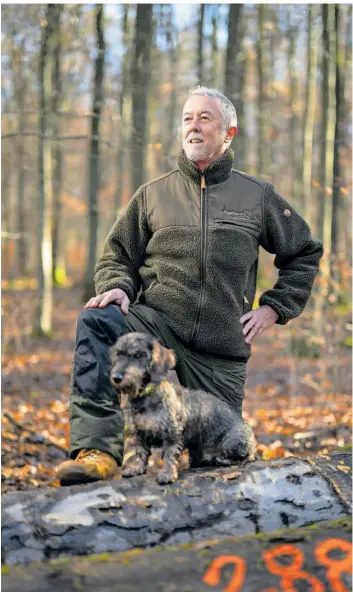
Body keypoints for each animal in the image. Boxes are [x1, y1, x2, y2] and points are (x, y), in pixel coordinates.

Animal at [110, 330, 256, 484]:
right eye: (118, 354)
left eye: (138, 355)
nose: (116, 378)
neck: (146, 397)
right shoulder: (140, 433)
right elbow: (141, 452)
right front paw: (136, 468)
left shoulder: (172, 435)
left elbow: (168, 456)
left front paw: (167, 474)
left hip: (233, 440)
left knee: (243, 458)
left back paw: (223, 460)